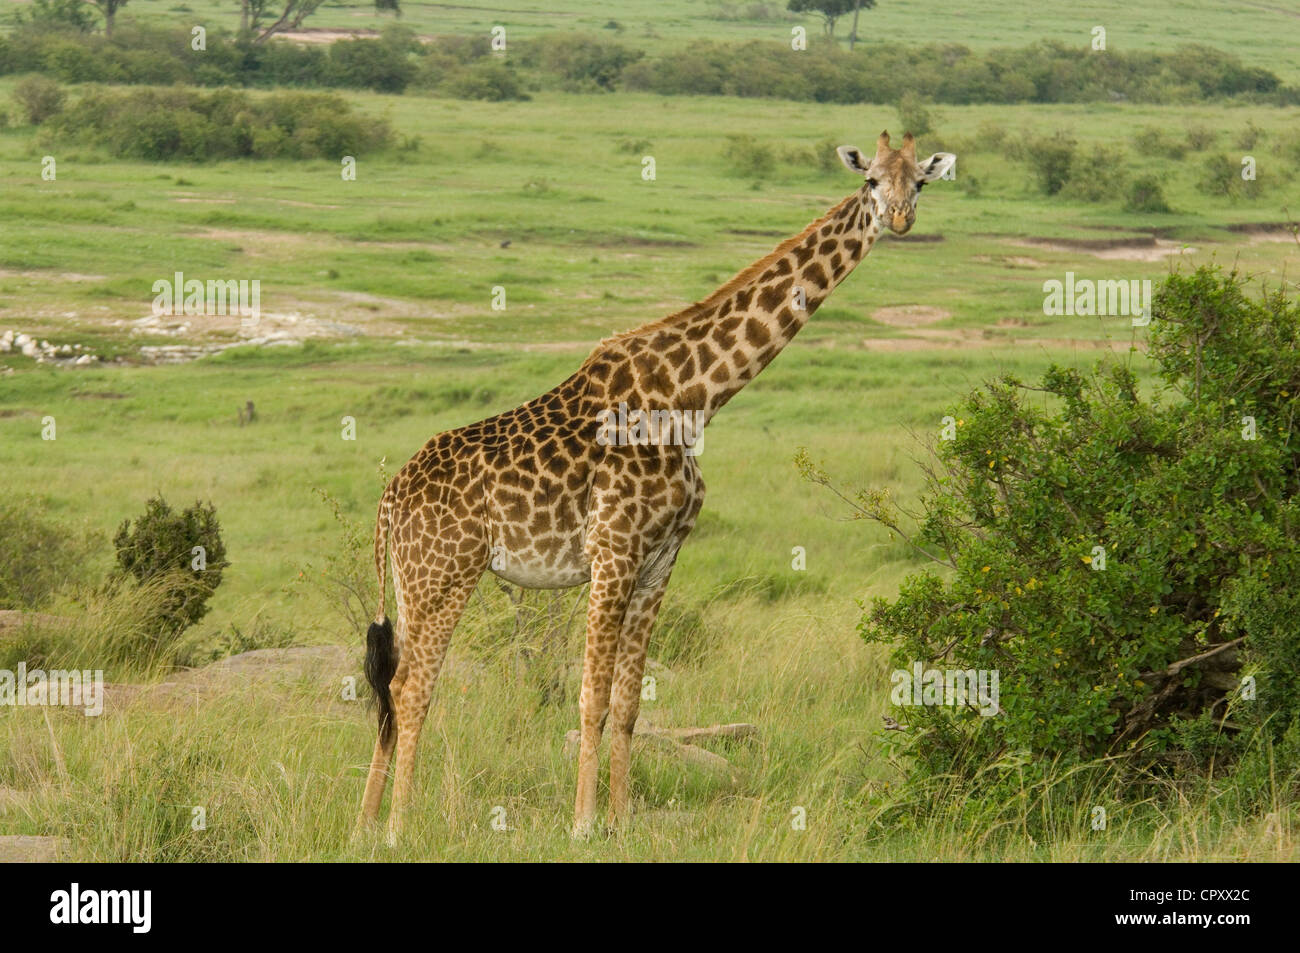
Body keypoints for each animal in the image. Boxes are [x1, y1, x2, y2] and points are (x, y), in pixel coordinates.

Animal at [356, 130, 956, 837]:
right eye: (870, 181)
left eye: (919, 180)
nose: (900, 217)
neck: (695, 396)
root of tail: (389, 502)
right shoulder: (613, 551)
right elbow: (590, 698)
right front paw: (582, 824)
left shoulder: (660, 559)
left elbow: (628, 703)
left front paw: (619, 820)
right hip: (445, 573)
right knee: (411, 688)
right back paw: (398, 826)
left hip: (411, 580)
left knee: (391, 685)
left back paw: (365, 824)